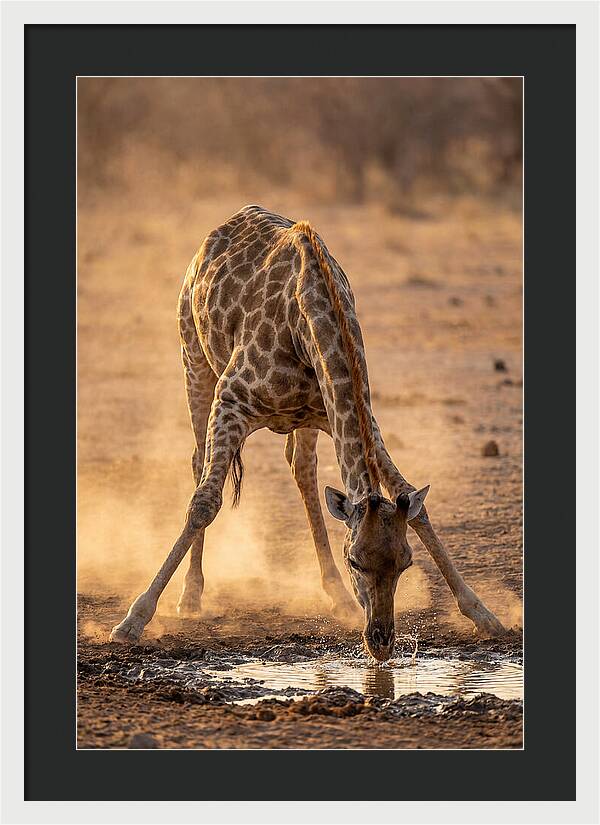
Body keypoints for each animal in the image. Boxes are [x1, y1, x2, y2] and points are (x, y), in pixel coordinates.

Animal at [110, 205, 506, 658]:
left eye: (405, 562)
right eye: (356, 560)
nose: (381, 642)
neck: (310, 319)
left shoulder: (351, 414)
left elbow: (414, 505)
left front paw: (484, 614)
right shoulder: (231, 400)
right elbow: (204, 503)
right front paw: (134, 619)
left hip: (304, 420)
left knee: (302, 469)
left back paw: (337, 596)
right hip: (194, 359)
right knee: (199, 464)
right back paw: (191, 596)